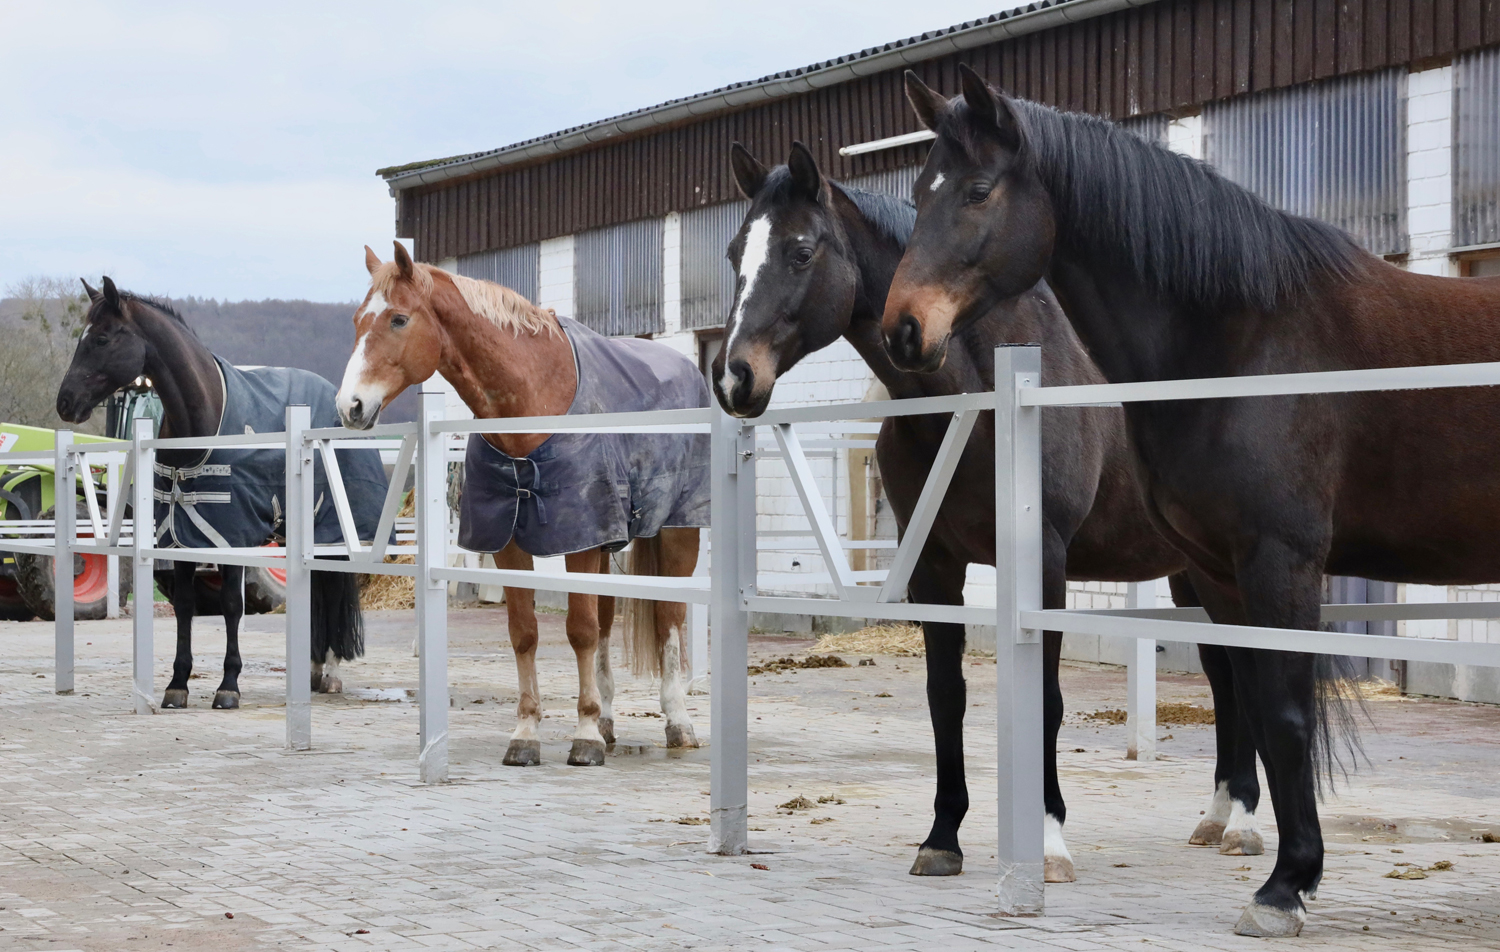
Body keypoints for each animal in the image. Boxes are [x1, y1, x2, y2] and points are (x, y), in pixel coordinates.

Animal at [334, 245, 702, 767]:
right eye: (356, 321)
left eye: (399, 319)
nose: (350, 406)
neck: (533, 400)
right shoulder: (512, 544)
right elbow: (526, 631)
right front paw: (527, 733)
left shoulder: (579, 543)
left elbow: (580, 630)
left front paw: (584, 736)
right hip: (610, 542)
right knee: (610, 621)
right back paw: (610, 721)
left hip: (677, 532)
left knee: (669, 617)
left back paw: (677, 722)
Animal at [714, 145, 1266, 881]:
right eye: (733, 252)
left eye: (801, 250)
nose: (733, 377)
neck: (973, 397)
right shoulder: (935, 566)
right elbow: (945, 697)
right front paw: (942, 837)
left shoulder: (1045, 561)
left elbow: (1046, 700)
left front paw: (1050, 841)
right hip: (1195, 574)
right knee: (1227, 677)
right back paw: (1216, 815)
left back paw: (1244, 823)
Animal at [876, 67, 1500, 941]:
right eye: (916, 190)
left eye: (976, 189)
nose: (903, 329)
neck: (1246, 340)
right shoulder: (1222, 573)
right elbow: (1260, 713)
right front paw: (1282, 867)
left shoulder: (1279, 562)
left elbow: (1287, 717)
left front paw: (1282, 890)